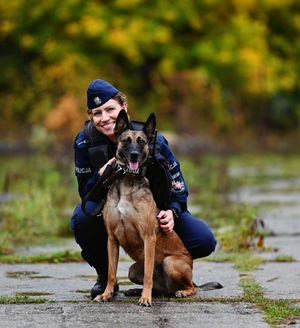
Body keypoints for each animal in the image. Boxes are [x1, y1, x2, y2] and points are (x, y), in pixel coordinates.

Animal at [94, 109, 199, 304]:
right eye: (126, 140)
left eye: (142, 142)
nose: (134, 154)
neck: (127, 181)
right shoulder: (111, 239)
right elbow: (111, 272)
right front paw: (106, 294)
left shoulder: (149, 238)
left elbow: (148, 273)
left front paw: (145, 299)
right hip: (133, 270)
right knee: (159, 288)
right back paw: (137, 291)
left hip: (170, 263)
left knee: (192, 288)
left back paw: (180, 292)